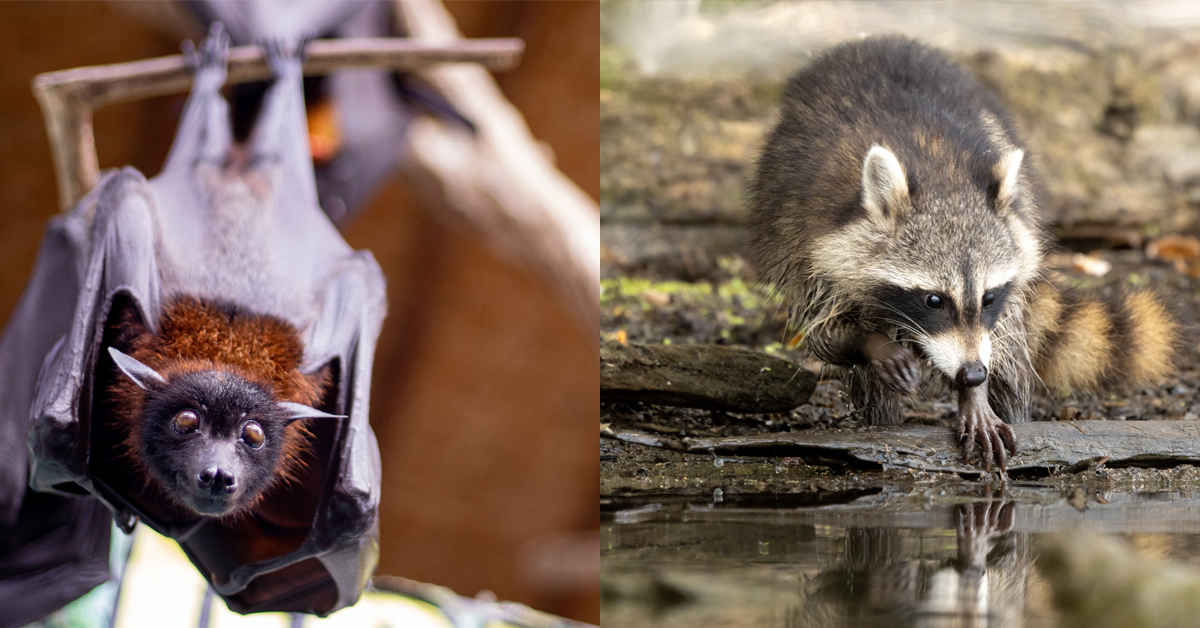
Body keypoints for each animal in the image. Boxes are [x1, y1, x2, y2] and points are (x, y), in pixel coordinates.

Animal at [748, 36, 1184, 470]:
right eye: (933, 300)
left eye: (989, 297)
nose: (972, 374)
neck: (942, 179)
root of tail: (872, 43)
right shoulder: (811, 245)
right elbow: (821, 330)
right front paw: (870, 343)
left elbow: (1001, 340)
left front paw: (976, 396)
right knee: (868, 379)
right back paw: (881, 421)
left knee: (1014, 362)